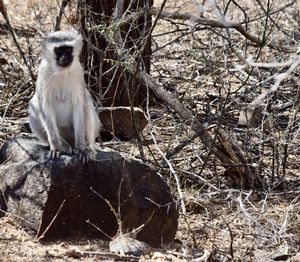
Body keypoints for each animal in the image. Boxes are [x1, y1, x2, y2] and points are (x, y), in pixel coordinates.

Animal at [29, 29, 101, 163]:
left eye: (68, 49)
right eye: (58, 50)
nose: (64, 57)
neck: (61, 71)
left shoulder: (78, 71)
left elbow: (79, 105)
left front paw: (82, 149)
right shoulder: (43, 71)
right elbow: (45, 107)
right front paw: (56, 147)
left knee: (87, 103)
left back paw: (88, 148)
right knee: (34, 108)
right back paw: (64, 146)